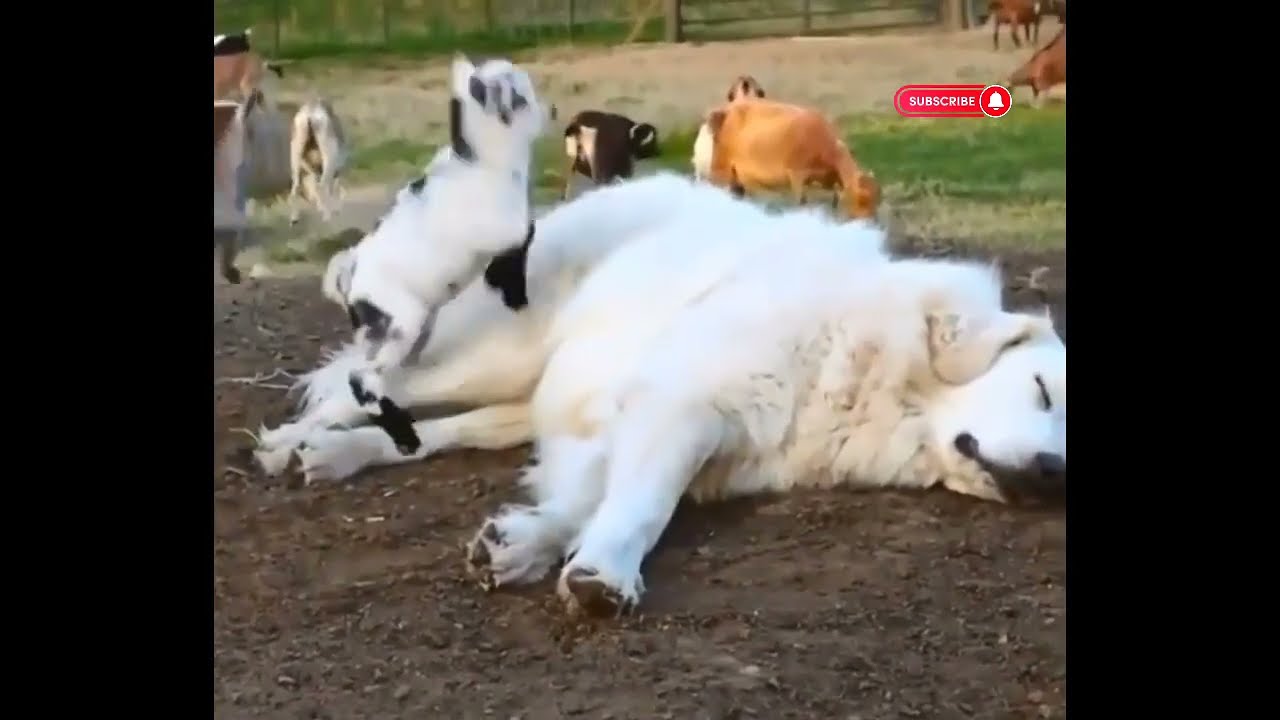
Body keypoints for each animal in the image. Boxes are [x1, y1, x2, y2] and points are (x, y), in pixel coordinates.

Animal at [341, 55, 548, 455]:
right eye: (521, 98)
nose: (552, 112)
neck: (481, 164)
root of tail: (352, 280)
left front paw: (503, 284)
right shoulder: (503, 228)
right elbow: (527, 232)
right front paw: (508, 288)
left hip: (406, 331)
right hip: (399, 323)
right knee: (361, 379)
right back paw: (405, 437)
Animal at [702, 99, 880, 221]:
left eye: (877, 201)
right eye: (862, 199)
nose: (869, 226)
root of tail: (725, 109)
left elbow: (834, 203)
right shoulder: (797, 174)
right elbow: (801, 202)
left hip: (737, 176)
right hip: (721, 168)